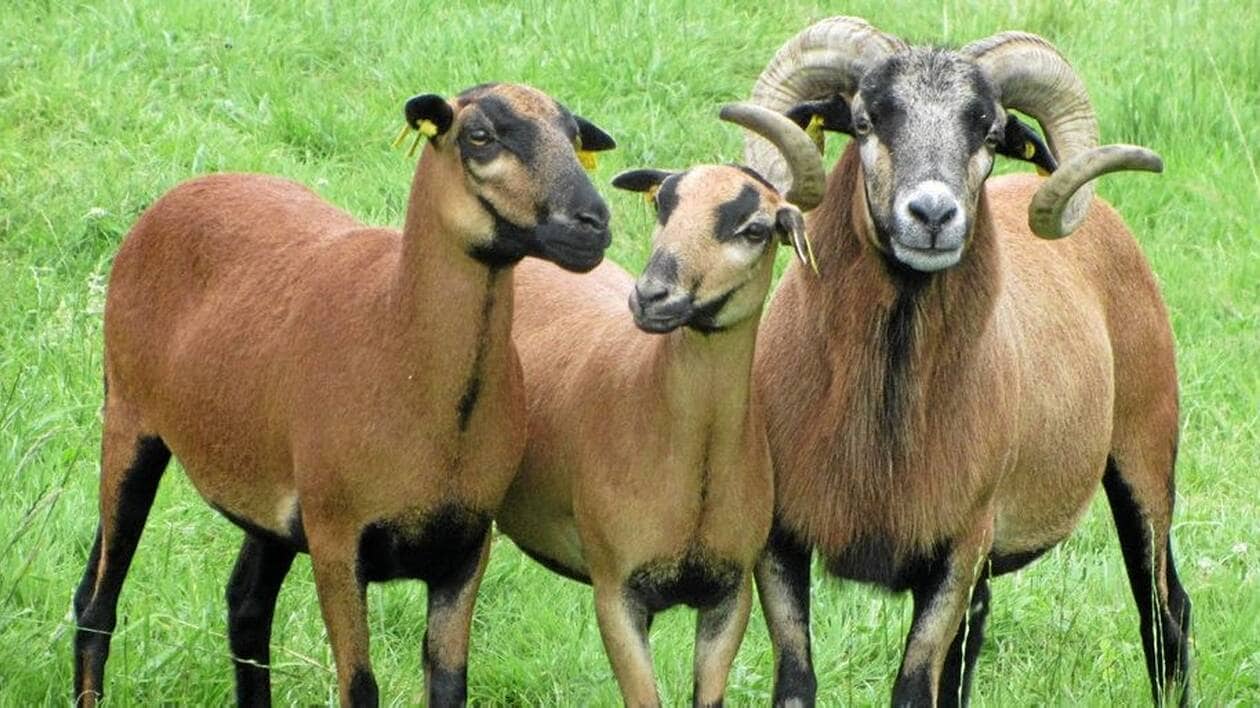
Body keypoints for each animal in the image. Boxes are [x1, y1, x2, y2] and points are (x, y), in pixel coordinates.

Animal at [71, 82, 616, 708]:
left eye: (575, 138)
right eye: (480, 136)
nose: (594, 223)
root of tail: (185, 189)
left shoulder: (465, 547)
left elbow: (450, 686)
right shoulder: (337, 541)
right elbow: (360, 687)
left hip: (270, 491)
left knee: (245, 606)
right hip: (129, 416)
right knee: (98, 602)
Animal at [741, 18, 1191, 707]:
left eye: (990, 132)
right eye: (865, 120)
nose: (932, 214)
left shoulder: (957, 547)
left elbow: (914, 686)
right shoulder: (779, 541)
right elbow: (797, 682)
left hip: (1145, 455)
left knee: (1164, 614)